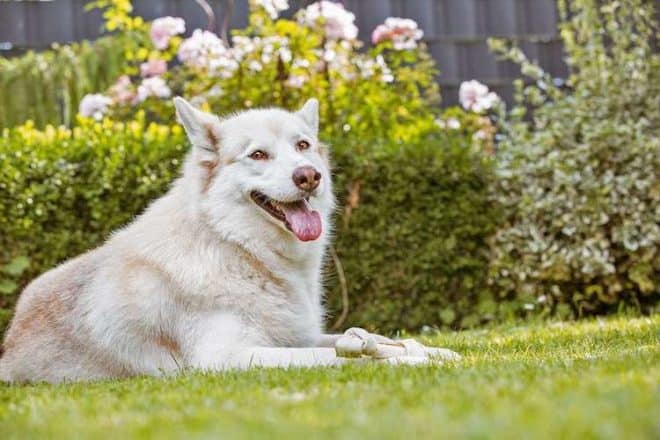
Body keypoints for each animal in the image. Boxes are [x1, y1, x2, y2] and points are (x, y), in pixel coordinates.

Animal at [0, 98, 458, 384]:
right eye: (257, 155)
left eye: (303, 145)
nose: (309, 175)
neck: (236, 248)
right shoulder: (229, 358)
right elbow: (342, 361)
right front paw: (412, 363)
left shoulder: (295, 338)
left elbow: (377, 341)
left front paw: (436, 352)